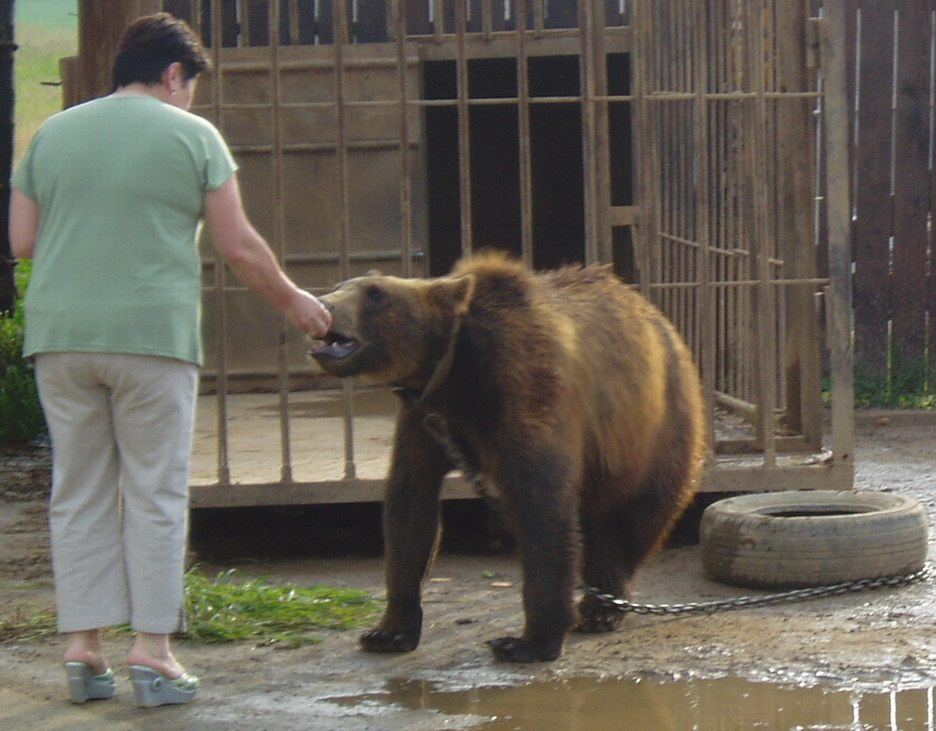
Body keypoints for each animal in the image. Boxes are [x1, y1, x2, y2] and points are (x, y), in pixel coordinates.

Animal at [309, 252, 707, 662]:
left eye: (375, 294)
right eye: (342, 284)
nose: (324, 304)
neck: (455, 370)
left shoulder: (522, 384)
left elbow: (539, 503)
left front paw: (527, 640)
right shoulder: (425, 419)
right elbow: (410, 506)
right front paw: (388, 632)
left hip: (652, 431)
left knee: (637, 515)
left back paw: (602, 605)